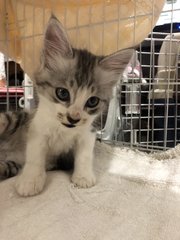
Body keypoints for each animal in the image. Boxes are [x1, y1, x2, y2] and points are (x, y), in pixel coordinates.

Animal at [0, 15, 134, 196]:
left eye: (92, 101)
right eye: (62, 93)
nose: (73, 118)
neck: (63, 129)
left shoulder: (88, 131)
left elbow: (84, 154)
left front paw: (83, 176)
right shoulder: (37, 128)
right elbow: (35, 155)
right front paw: (31, 180)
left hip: (10, 165)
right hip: (12, 119)